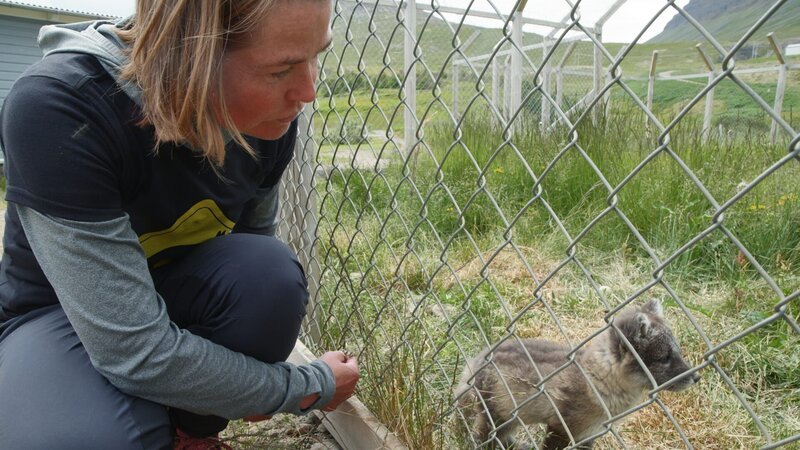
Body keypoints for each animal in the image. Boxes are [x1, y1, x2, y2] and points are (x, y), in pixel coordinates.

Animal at [456, 298, 700, 450]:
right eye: (665, 357)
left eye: (677, 351)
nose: (697, 377)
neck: (598, 381)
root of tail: (480, 358)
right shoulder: (561, 427)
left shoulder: (590, 434)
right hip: (498, 415)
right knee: (484, 437)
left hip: (511, 417)